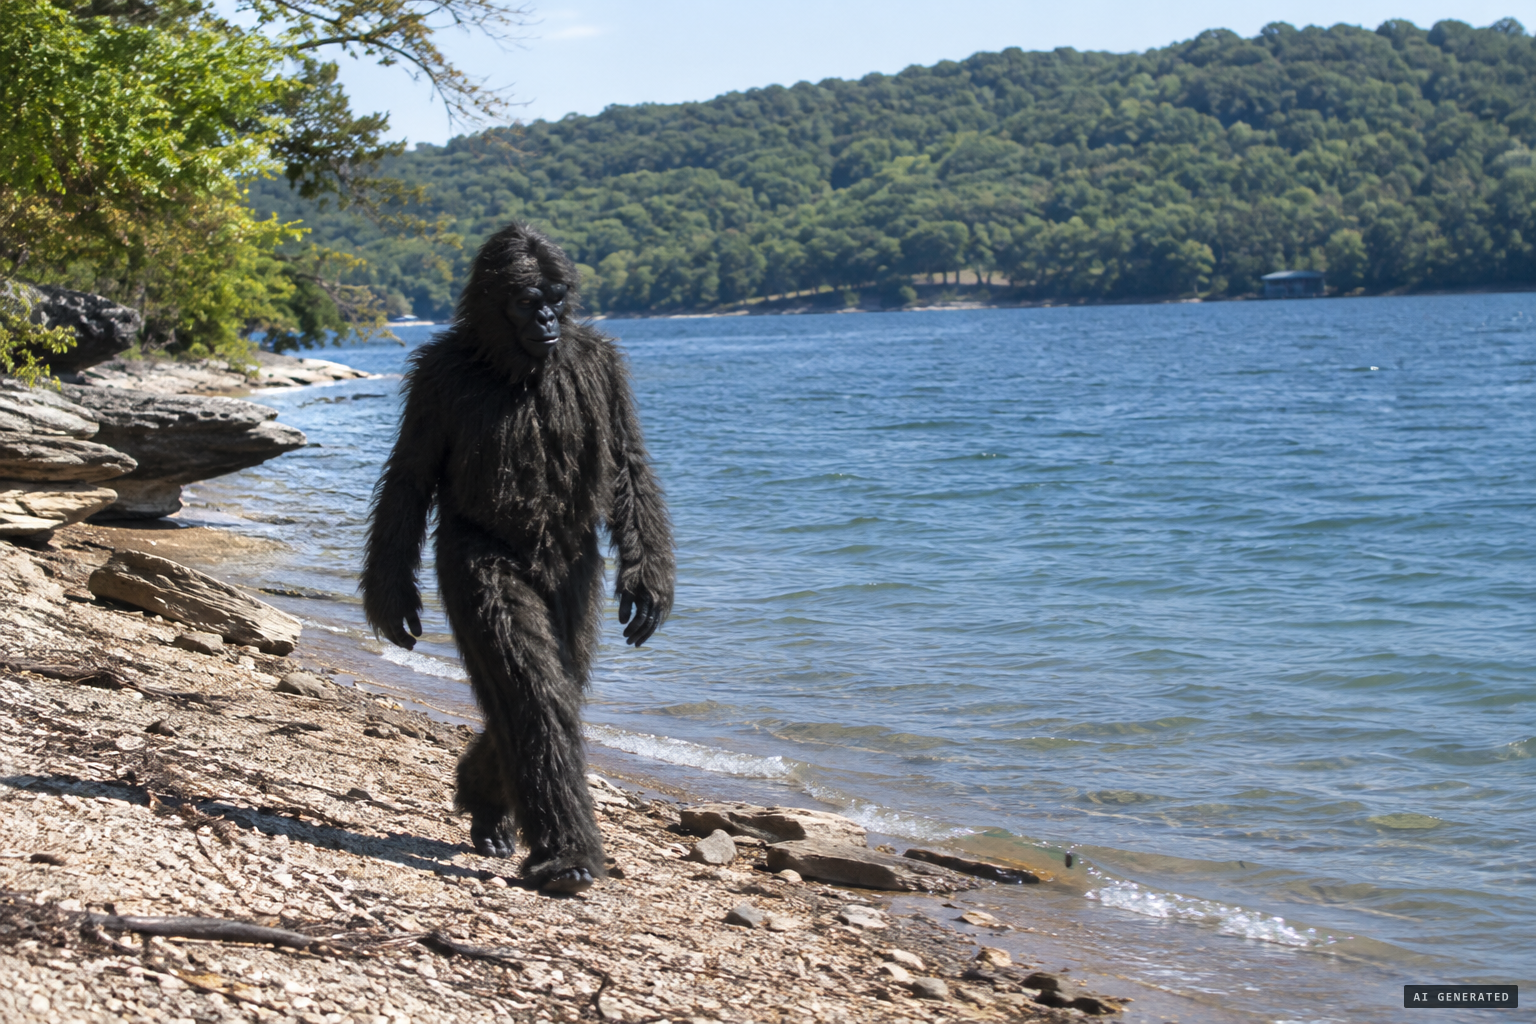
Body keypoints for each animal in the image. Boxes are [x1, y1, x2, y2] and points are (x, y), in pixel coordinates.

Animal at [361, 222, 674, 893]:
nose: (552, 316)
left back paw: (490, 804)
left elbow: (627, 463)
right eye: (530, 300)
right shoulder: (434, 382)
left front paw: (647, 589)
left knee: (567, 669)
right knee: (526, 670)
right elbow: (410, 476)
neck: (516, 370)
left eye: (556, 296)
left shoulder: (604, 372)